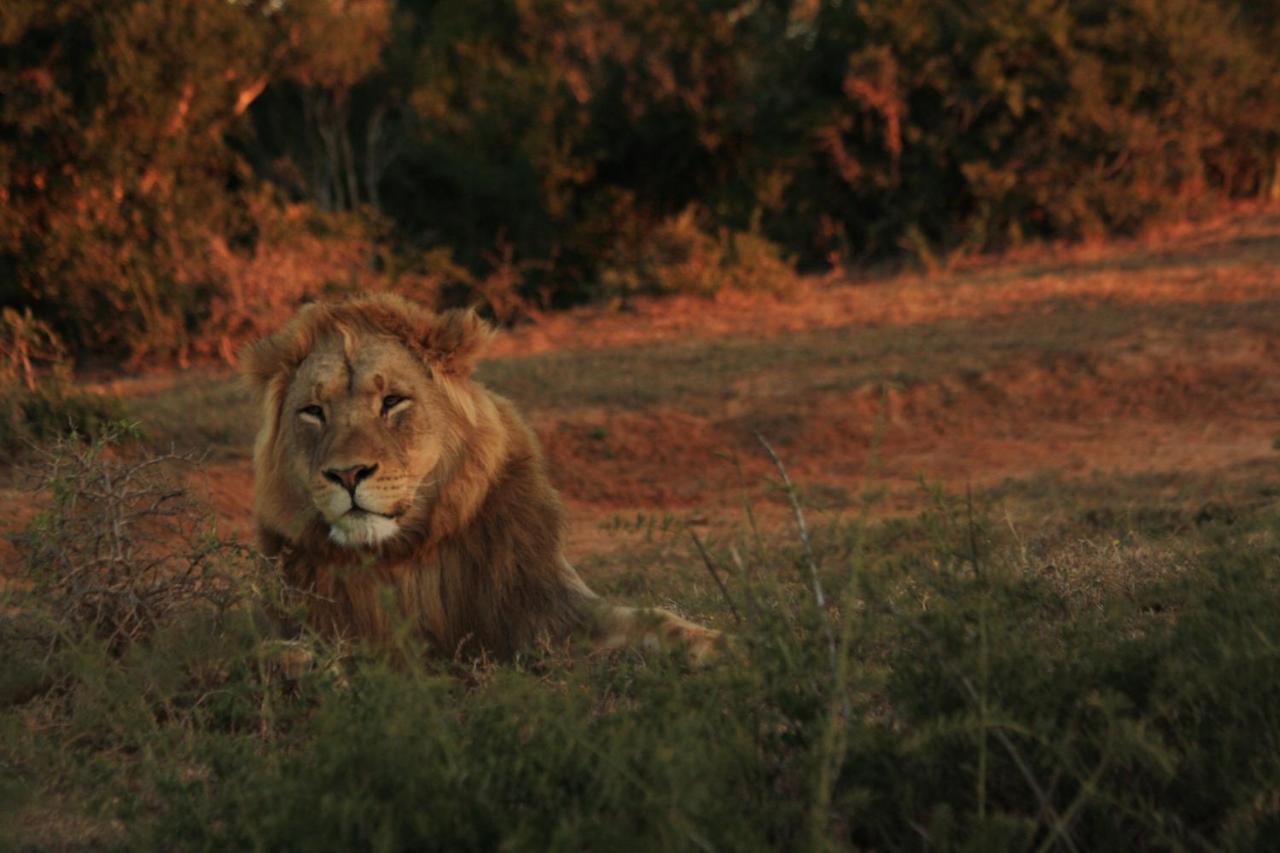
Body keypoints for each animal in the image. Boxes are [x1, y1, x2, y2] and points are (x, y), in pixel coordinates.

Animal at [240, 295, 721, 660]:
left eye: (392, 401)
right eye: (313, 412)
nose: (347, 472)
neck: (402, 556)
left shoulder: (550, 604)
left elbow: (655, 620)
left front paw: (723, 645)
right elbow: (274, 651)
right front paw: (303, 665)